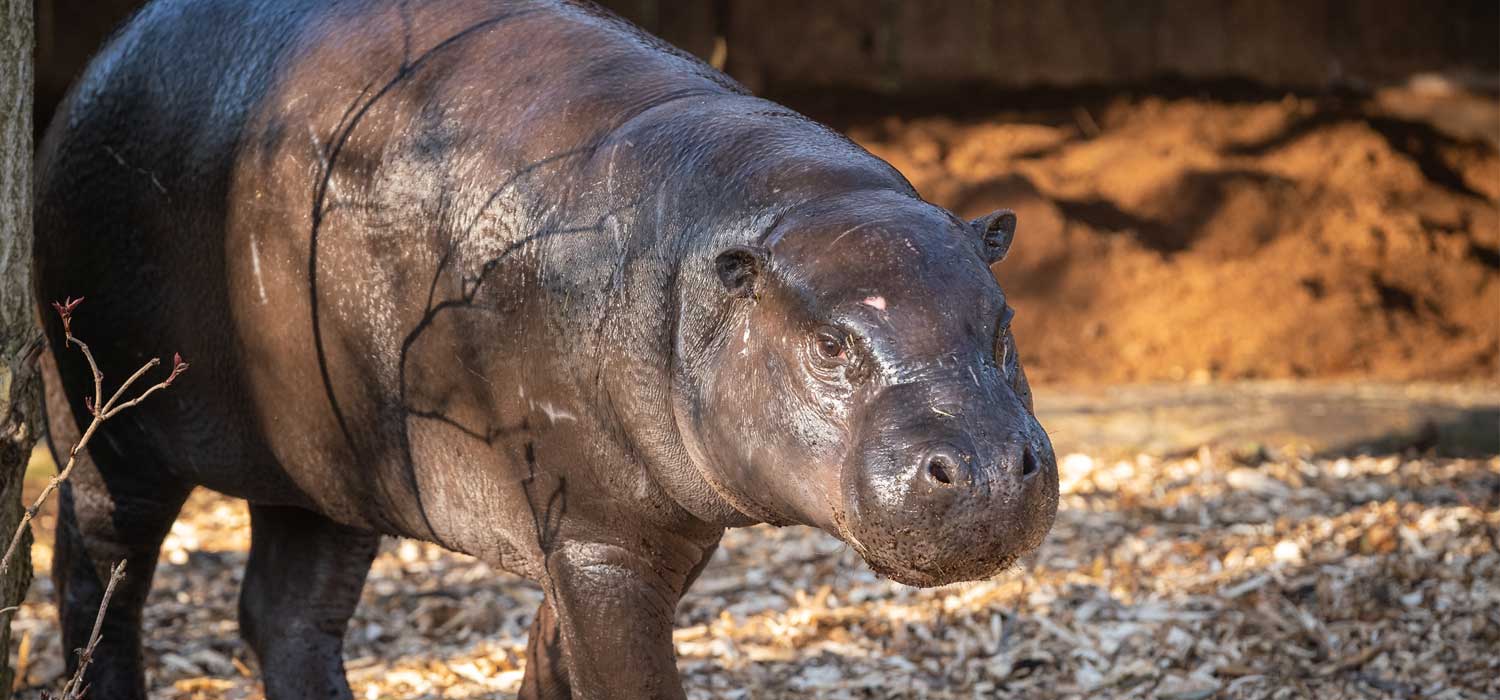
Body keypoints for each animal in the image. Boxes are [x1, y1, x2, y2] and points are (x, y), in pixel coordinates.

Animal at [35, 0, 1062, 695]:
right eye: (830, 344)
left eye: (1003, 322)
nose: (980, 466)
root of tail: (105, 58)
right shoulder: (598, 533)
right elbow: (620, 675)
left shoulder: (641, 531)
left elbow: (555, 656)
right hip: (108, 423)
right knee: (99, 575)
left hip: (327, 464)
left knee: (286, 613)